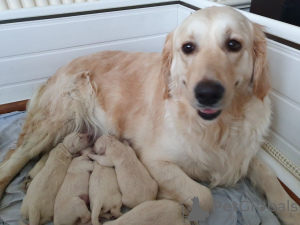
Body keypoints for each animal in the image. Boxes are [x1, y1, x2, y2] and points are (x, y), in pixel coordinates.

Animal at [0, 6, 300, 224]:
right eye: (188, 47)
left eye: (234, 44)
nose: (207, 93)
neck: (218, 127)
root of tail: (61, 68)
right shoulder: (154, 160)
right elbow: (203, 195)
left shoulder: (241, 153)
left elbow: (270, 177)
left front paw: (290, 213)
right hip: (57, 117)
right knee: (14, 156)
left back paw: (32, 177)